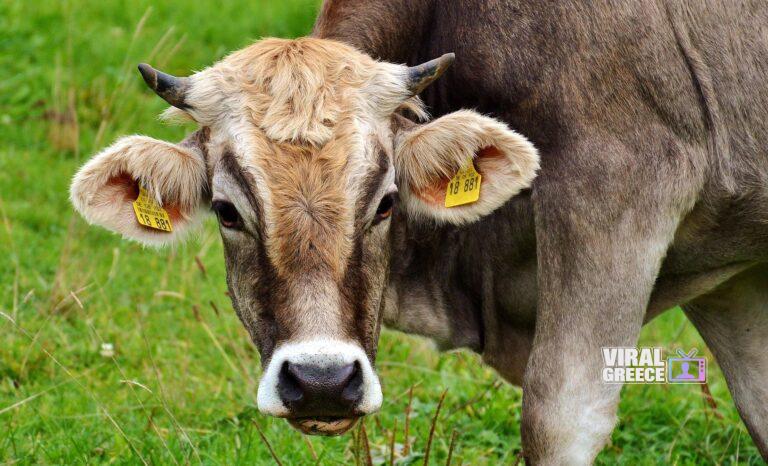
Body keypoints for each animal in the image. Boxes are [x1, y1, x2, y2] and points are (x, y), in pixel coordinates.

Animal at [69, 0, 768, 463]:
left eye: (385, 204)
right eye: (227, 210)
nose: (321, 382)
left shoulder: (618, 193)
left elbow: (561, 416)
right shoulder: (732, 273)